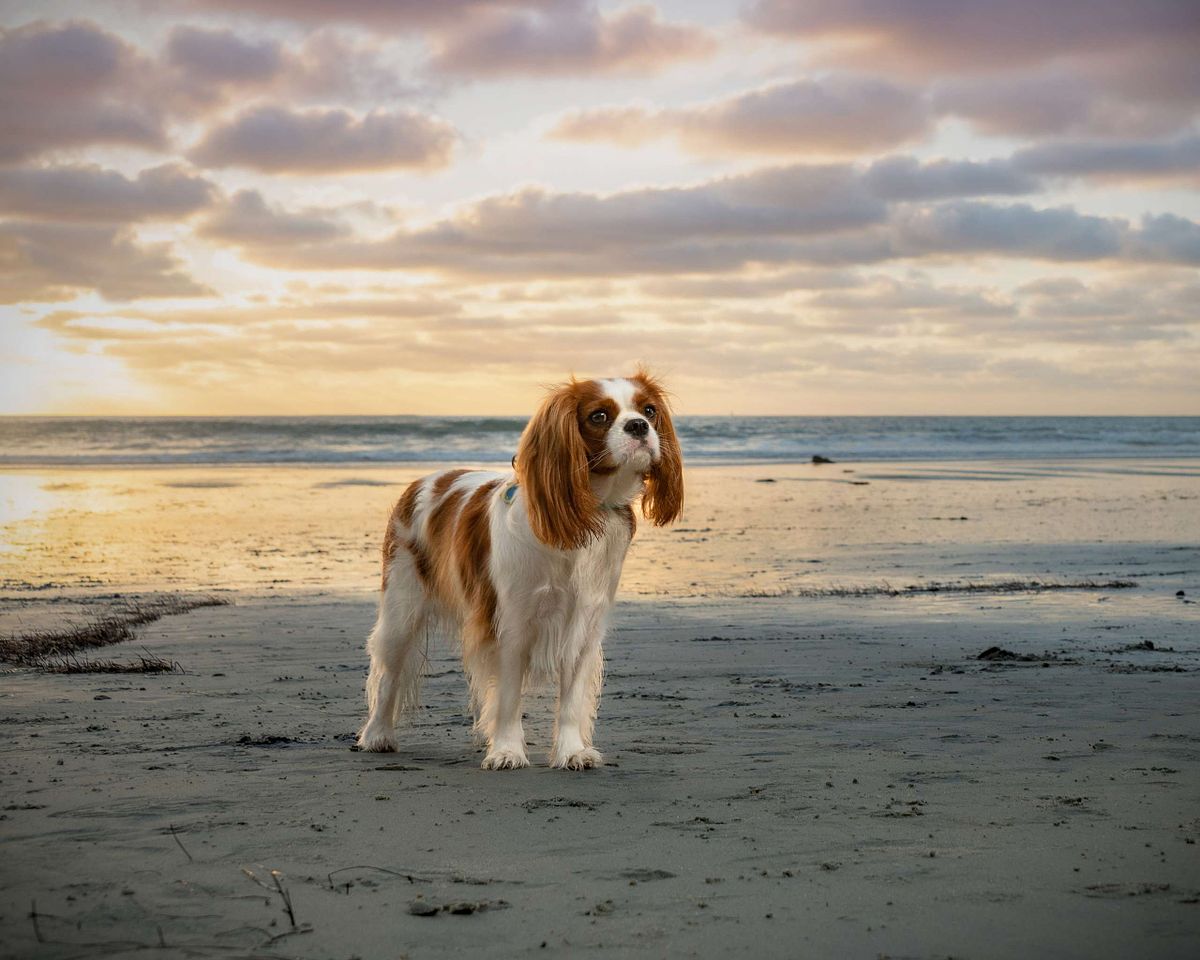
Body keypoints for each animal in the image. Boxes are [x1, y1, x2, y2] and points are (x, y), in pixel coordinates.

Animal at [357, 370, 683, 769]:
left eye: (649, 410)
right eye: (599, 416)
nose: (638, 426)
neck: (587, 509)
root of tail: (425, 480)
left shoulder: (583, 626)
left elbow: (571, 700)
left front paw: (572, 751)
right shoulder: (511, 625)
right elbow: (509, 696)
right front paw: (507, 751)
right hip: (401, 608)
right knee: (388, 674)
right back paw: (377, 735)